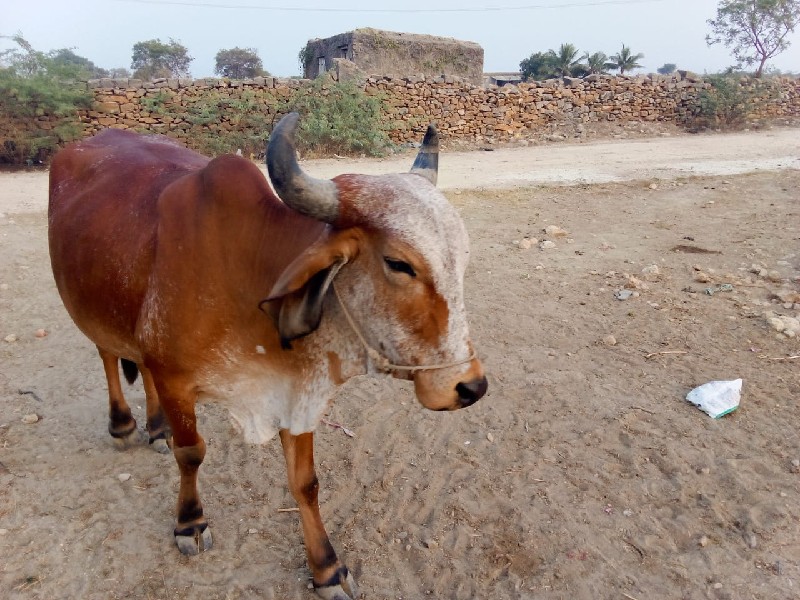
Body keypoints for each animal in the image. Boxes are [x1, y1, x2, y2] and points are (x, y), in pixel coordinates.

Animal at [51, 113, 488, 600]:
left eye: (461, 259)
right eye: (399, 264)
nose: (470, 386)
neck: (247, 278)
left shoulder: (296, 395)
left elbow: (306, 483)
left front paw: (327, 568)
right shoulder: (178, 380)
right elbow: (192, 453)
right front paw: (190, 523)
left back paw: (156, 426)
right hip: (91, 310)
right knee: (109, 356)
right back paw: (125, 423)